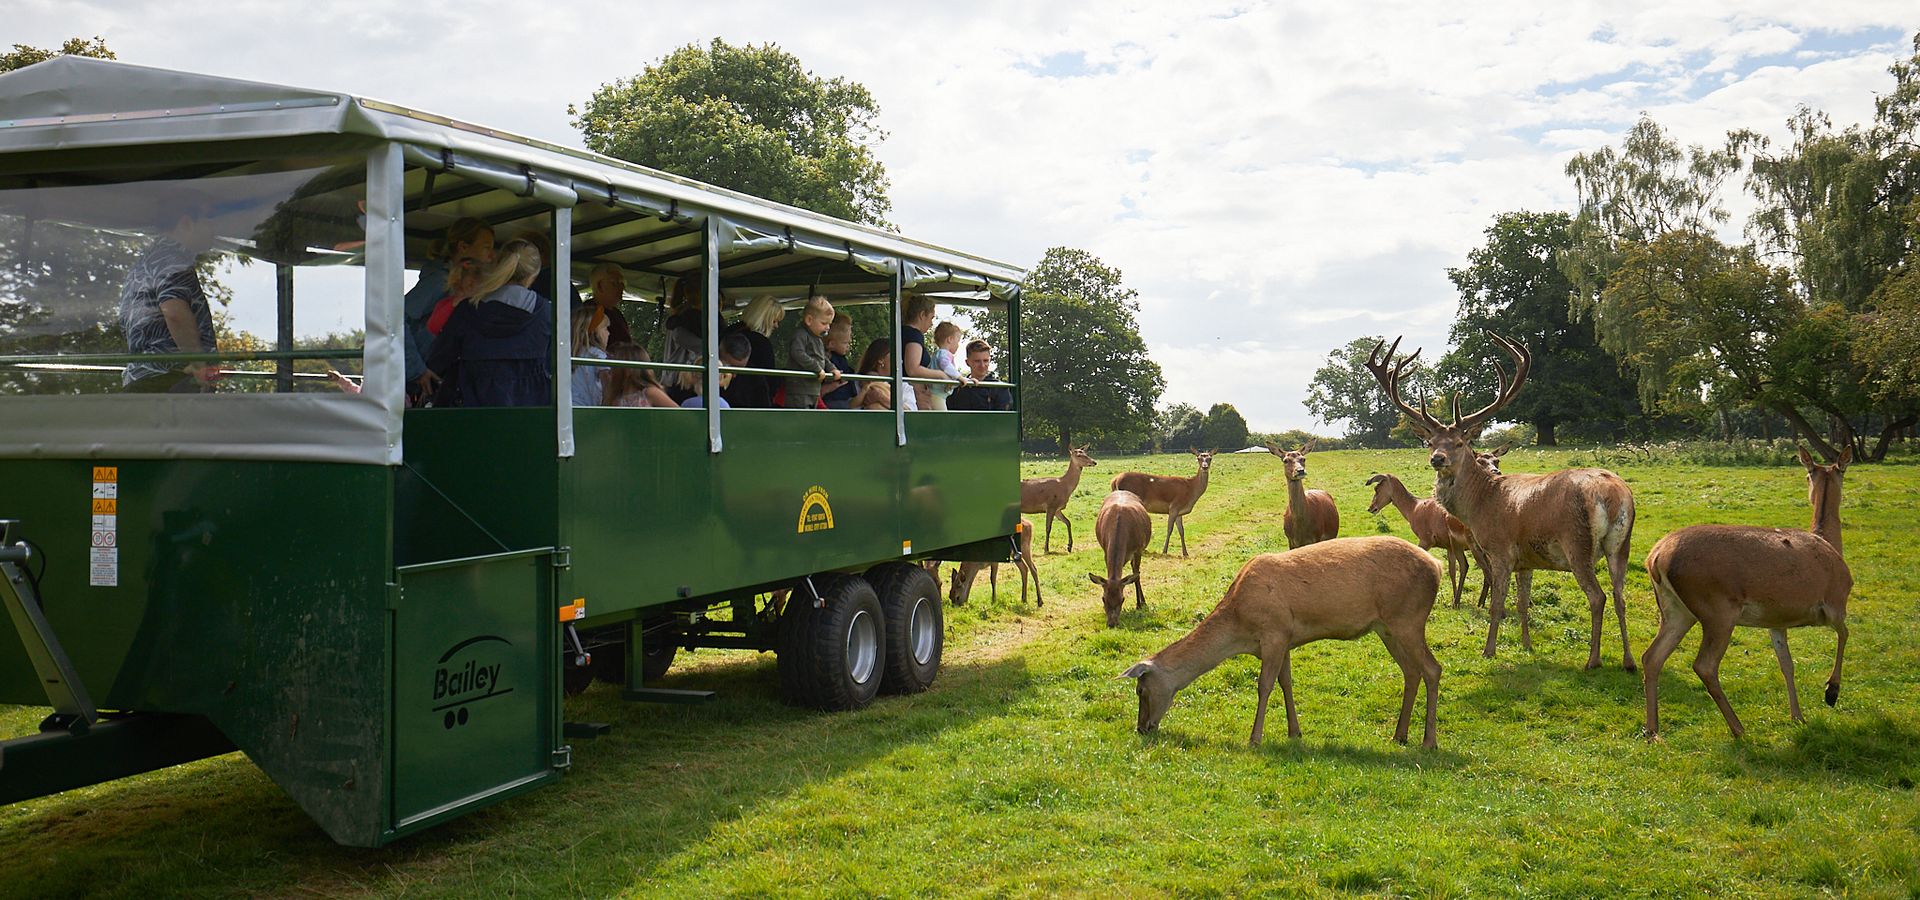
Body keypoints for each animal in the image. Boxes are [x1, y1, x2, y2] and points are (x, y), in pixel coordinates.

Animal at [1088, 490, 1151, 627]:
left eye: (1122, 599)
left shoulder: (1138, 550)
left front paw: (1139, 605)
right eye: (1103, 598)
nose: (1112, 624)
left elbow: (1136, 576)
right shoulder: (1105, 551)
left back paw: (1143, 602)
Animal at [1119, 536, 1444, 748]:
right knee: (1411, 672)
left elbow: (1264, 685)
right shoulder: (1285, 637)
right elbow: (1286, 681)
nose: (1141, 728)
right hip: (1387, 628)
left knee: (1432, 669)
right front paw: (1294, 731)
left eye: (1140, 690)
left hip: (1408, 619)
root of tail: (1437, 566)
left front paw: (1254, 738)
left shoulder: (1274, 633)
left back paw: (1428, 741)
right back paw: (1399, 734)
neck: (1240, 628)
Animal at [1363, 472, 1484, 608]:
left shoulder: (1426, 540)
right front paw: (1453, 599)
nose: (1371, 508)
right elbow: (1452, 571)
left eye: (1377, 488)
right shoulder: (1449, 546)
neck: (1413, 509)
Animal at [1641, 446, 1852, 739]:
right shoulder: (1834, 601)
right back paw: (1738, 728)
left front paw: (1797, 716)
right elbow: (1845, 634)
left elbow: (1787, 664)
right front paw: (1831, 691)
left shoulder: (1777, 621)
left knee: (1652, 657)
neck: (1829, 542)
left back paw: (1652, 730)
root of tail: (1655, 558)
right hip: (1717, 609)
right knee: (1704, 665)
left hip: (1675, 610)